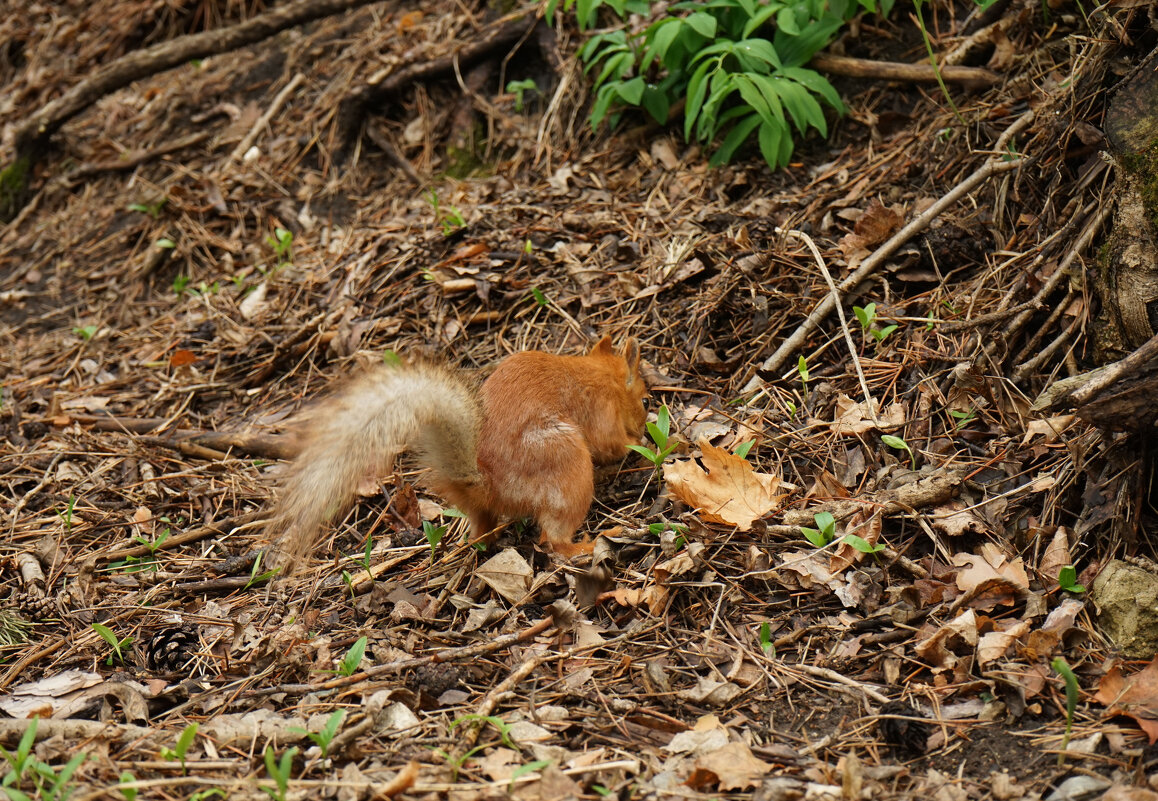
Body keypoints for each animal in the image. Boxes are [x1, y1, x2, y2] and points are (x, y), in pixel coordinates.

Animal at [272, 335, 653, 567]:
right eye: (646, 399)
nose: (645, 423)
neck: (596, 375)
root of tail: (487, 482)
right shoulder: (602, 411)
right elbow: (611, 443)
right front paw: (645, 443)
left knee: (484, 530)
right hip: (567, 462)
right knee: (553, 539)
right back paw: (592, 543)